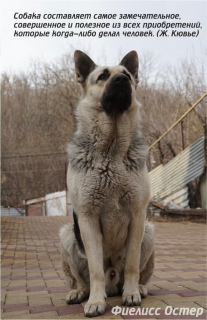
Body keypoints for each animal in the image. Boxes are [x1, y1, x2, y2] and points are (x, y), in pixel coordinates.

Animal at [59, 50, 154, 318]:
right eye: (103, 76)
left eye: (127, 76)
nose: (122, 81)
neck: (111, 150)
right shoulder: (88, 219)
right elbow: (95, 270)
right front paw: (95, 302)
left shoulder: (137, 215)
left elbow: (132, 264)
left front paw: (131, 293)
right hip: (67, 235)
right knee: (82, 278)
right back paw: (81, 292)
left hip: (149, 232)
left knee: (137, 272)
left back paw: (137, 288)